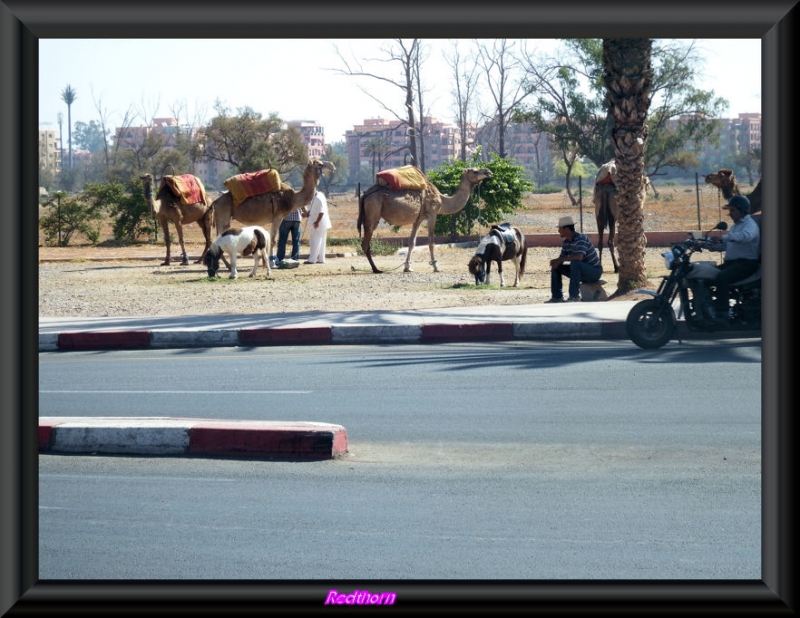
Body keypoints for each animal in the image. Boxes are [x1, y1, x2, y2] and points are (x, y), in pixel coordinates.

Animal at [358, 164, 494, 272]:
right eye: (475, 171)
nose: (488, 172)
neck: (443, 201)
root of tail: (365, 194)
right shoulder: (432, 214)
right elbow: (431, 242)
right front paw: (436, 267)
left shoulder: (419, 218)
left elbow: (412, 242)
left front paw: (408, 267)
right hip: (373, 213)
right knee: (365, 243)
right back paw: (376, 269)